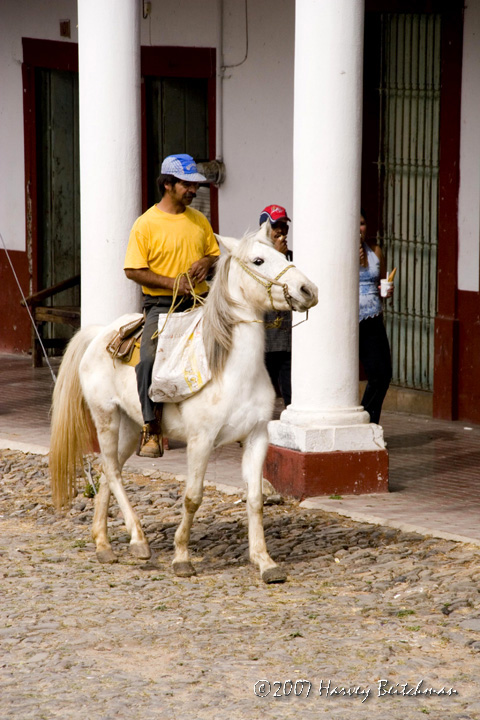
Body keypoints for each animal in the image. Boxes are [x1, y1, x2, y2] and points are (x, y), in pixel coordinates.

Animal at [49, 226, 318, 584]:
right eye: (258, 260)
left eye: (283, 254)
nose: (308, 290)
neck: (229, 370)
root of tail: (98, 333)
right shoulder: (200, 441)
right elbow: (193, 498)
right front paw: (181, 558)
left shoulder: (257, 436)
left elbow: (255, 499)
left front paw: (265, 562)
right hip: (105, 417)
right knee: (113, 471)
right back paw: (138, 541)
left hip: (131, 428)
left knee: (109, 469)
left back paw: (103, 544)